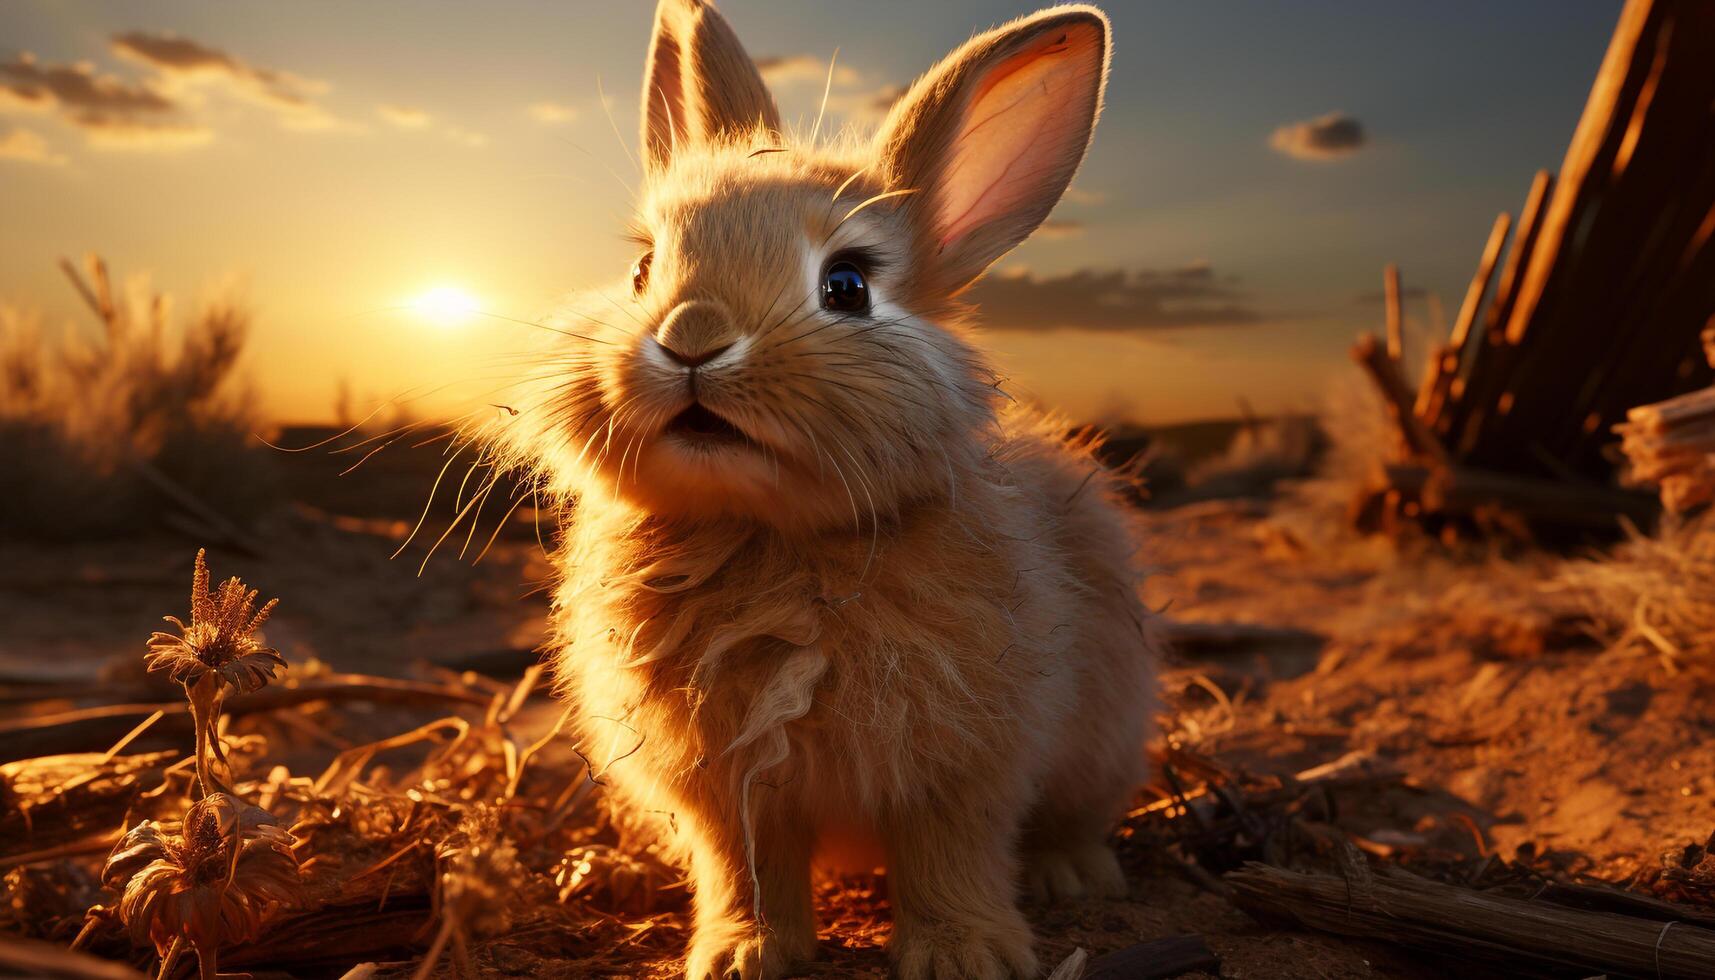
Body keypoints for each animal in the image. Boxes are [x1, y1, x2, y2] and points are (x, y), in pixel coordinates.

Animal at [487, 3, 1166, 974]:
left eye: (845, 286)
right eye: (644, 270)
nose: (692, 337)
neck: (766, 532)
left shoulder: (963, 769)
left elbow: (953, 856)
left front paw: (963, 956)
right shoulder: (733, 790)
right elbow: (747, 870)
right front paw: (739, 955)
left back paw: (1069, 876)